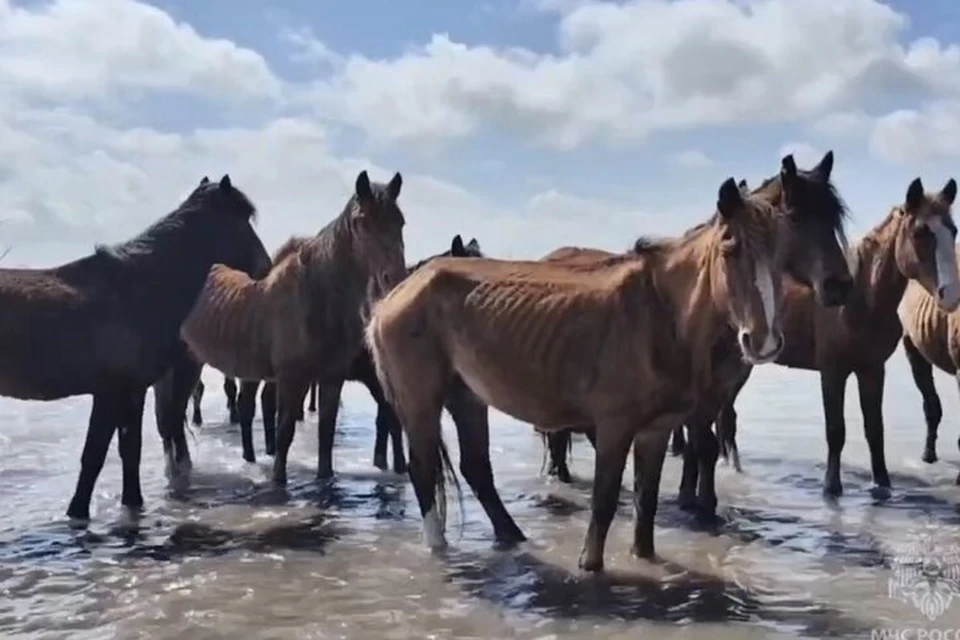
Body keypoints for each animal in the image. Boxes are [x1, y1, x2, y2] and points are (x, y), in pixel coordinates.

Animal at [152, 170, 406, 484]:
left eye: (400, 222)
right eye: (361, 222)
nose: (393, 279)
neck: (315, 295)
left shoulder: (331, 379)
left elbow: (326, 435)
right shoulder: (290, 378)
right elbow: (285, 432)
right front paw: (277, 479)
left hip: (190, 363)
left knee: (176, 416)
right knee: (169, 417)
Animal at [364, 174, 792, 568]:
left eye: (780, 255)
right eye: (730, 248)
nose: (763, 341)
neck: (661, 314)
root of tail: (393, 296)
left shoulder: (655, 431)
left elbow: (646, 504)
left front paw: (643, 558)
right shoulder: (614, 426)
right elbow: (604, 502)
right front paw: (590, 566)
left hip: (466, 396)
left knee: (476, 468)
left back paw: (513, 537)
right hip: (420, 401)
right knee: (424, 469)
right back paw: (439, 548)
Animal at [540, 155, 856, 496]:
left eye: (834, 220)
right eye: (796, 218)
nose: (840, 286)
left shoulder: (719, 391)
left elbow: (706, 443)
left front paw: (692, 495)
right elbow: (702, 443)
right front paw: (693, 500)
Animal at [716, 178, 956, 498]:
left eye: (953, 230)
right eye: (919, 232)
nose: (950, 294)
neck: (858, 299)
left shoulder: (872, 369)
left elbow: (874, 429)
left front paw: (881, 484)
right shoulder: (832, 371)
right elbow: (836, 430)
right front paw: (832, 487)